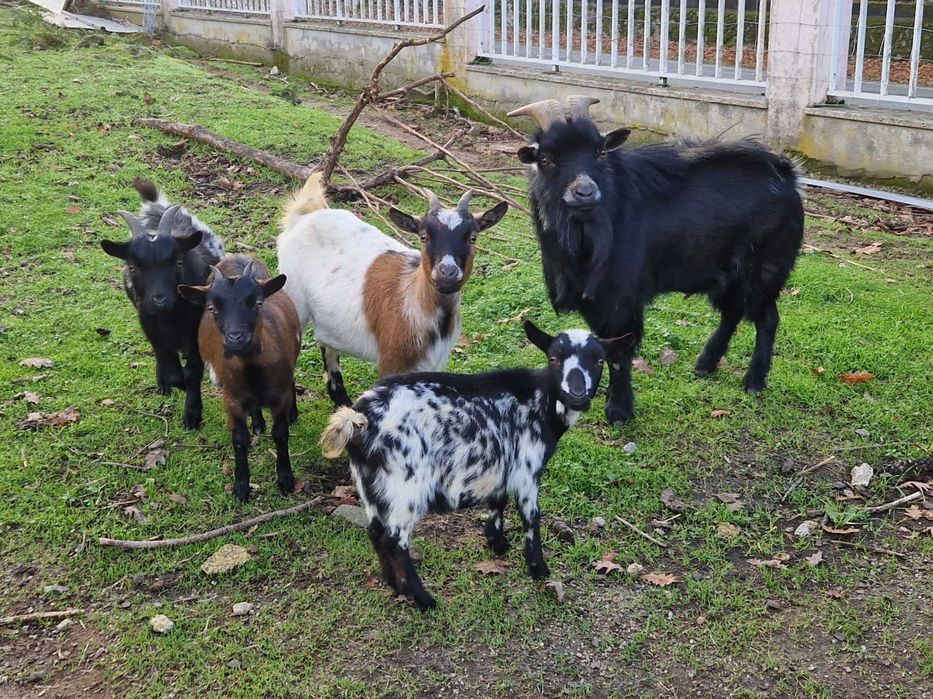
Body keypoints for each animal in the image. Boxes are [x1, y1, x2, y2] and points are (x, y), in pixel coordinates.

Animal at [100, 179, 224, 429]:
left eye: (178, 262)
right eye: (132, 266)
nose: (160, 299)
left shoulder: (195, 330)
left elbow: (192, 371)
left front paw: (192, 416)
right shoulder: (150, 326)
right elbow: (170, 365)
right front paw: (172, 384)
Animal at [178, 255, 300, 502]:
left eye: (258, 303)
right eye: (212, 307)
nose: (236, 338)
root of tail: (236, 257)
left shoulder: (280, 395)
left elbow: (281, 435)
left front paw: (285, 480)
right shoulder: (232, 399)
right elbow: (239, 440)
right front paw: (241, 487)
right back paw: (257, 423)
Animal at [277, 173, 508, 407]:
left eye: (473, 238)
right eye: (423, 236)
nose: (447, 273)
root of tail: (304, 217)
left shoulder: (433, 363)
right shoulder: (392, 361)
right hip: (294, 299)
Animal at [320, 320, 627, 610]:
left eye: (600, 360)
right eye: (554, 358)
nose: (577, 394)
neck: (540, 400)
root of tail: (358, 420)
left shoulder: (502, 463)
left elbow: (498, 500)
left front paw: (497, 542)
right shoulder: (527, 468)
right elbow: (531, 518)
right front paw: (538, 569)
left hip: (371, 484)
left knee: (375, 532)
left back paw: (394, 584)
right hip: (404, 486)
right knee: (395, 540)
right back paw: (423, 599)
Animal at [509, 96, 804, 425]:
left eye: (599, 152)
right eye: (546, 159)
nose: (585, 192)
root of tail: (786, 174)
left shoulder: (620, 299)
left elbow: (619, 354)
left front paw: (619, 410)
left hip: (765, 269)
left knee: (766, 319)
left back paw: (753, 380)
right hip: (729, 276)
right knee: (732, 314)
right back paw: (705, 364)